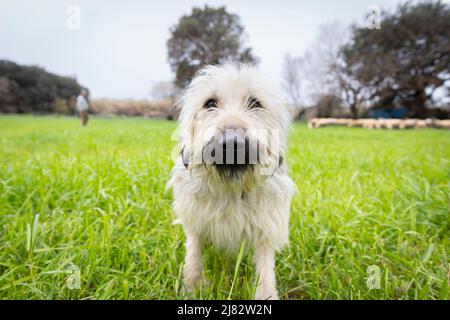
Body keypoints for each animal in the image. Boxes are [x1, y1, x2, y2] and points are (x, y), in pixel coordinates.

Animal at [167, 63, 298, 298]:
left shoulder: (266, 225)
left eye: (255, 103)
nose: (231, 143)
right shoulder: (194, 217)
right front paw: (192, 286)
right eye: (210, 103)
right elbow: (194, 252)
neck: (232, 187)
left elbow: (265, 268)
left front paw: (266, 294)